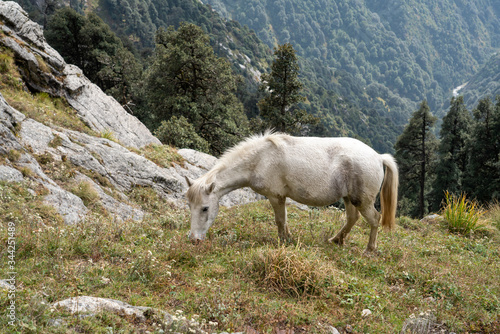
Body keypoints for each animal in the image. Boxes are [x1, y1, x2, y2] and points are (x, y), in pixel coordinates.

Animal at [185, 132, 398, 252]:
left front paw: (283, 241)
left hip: (362, 200)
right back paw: (336, 240)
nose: (194, 240)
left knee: (374, 219)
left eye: (205, 208)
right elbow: (284, 221)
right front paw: (288, 238)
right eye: (190, 206)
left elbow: (280, 220)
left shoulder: (276, 196)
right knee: (352, 218)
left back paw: (369, 249)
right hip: (348, 198)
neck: (260, 159)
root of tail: (378, 157)